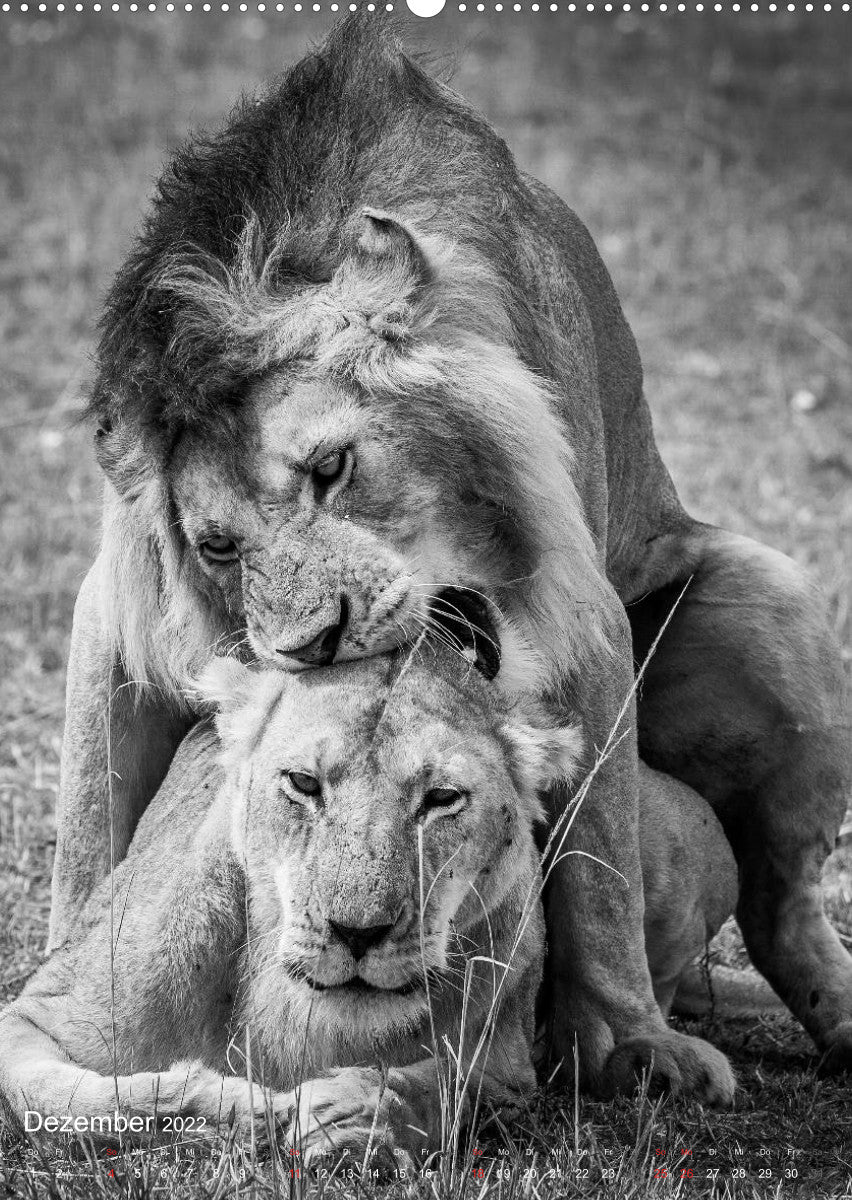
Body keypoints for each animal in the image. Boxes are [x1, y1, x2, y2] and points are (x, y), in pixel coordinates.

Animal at [3, 648, 739, 1161]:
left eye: (441, 799)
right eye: (304, 784)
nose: (358, 933)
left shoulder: (509, 1071)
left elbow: (449, 1086)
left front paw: (359, 1113)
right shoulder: (34, 1018)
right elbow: (76, 1104)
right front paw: (235, 1111)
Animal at [51, 16, 852, 1089]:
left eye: (332, 466)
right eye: (217, 546)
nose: (310, 645)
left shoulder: (584, 618)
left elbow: (600, 868)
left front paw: (632, 1046)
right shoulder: (117, 618)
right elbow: (88, 828)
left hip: (769, 599)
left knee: (781, 900)